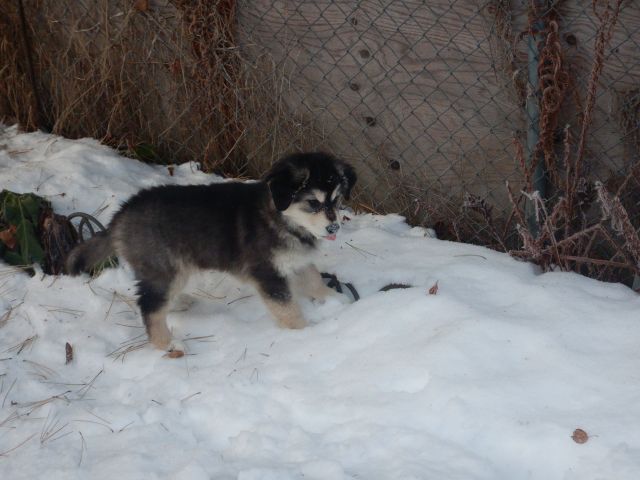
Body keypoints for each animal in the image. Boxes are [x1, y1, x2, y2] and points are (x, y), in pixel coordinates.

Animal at [67, 152, 358, 350]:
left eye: (337, 200)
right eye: (313, 203)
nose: (334, 227)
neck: (278, 215)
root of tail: (121, 215)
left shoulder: (297, 260)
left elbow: (313, 279)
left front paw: (336, 300)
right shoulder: (267, 273)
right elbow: (287, 308)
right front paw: (303, 333)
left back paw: (180, 302)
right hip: (164, 269)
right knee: (150, 307)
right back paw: (167, 345)